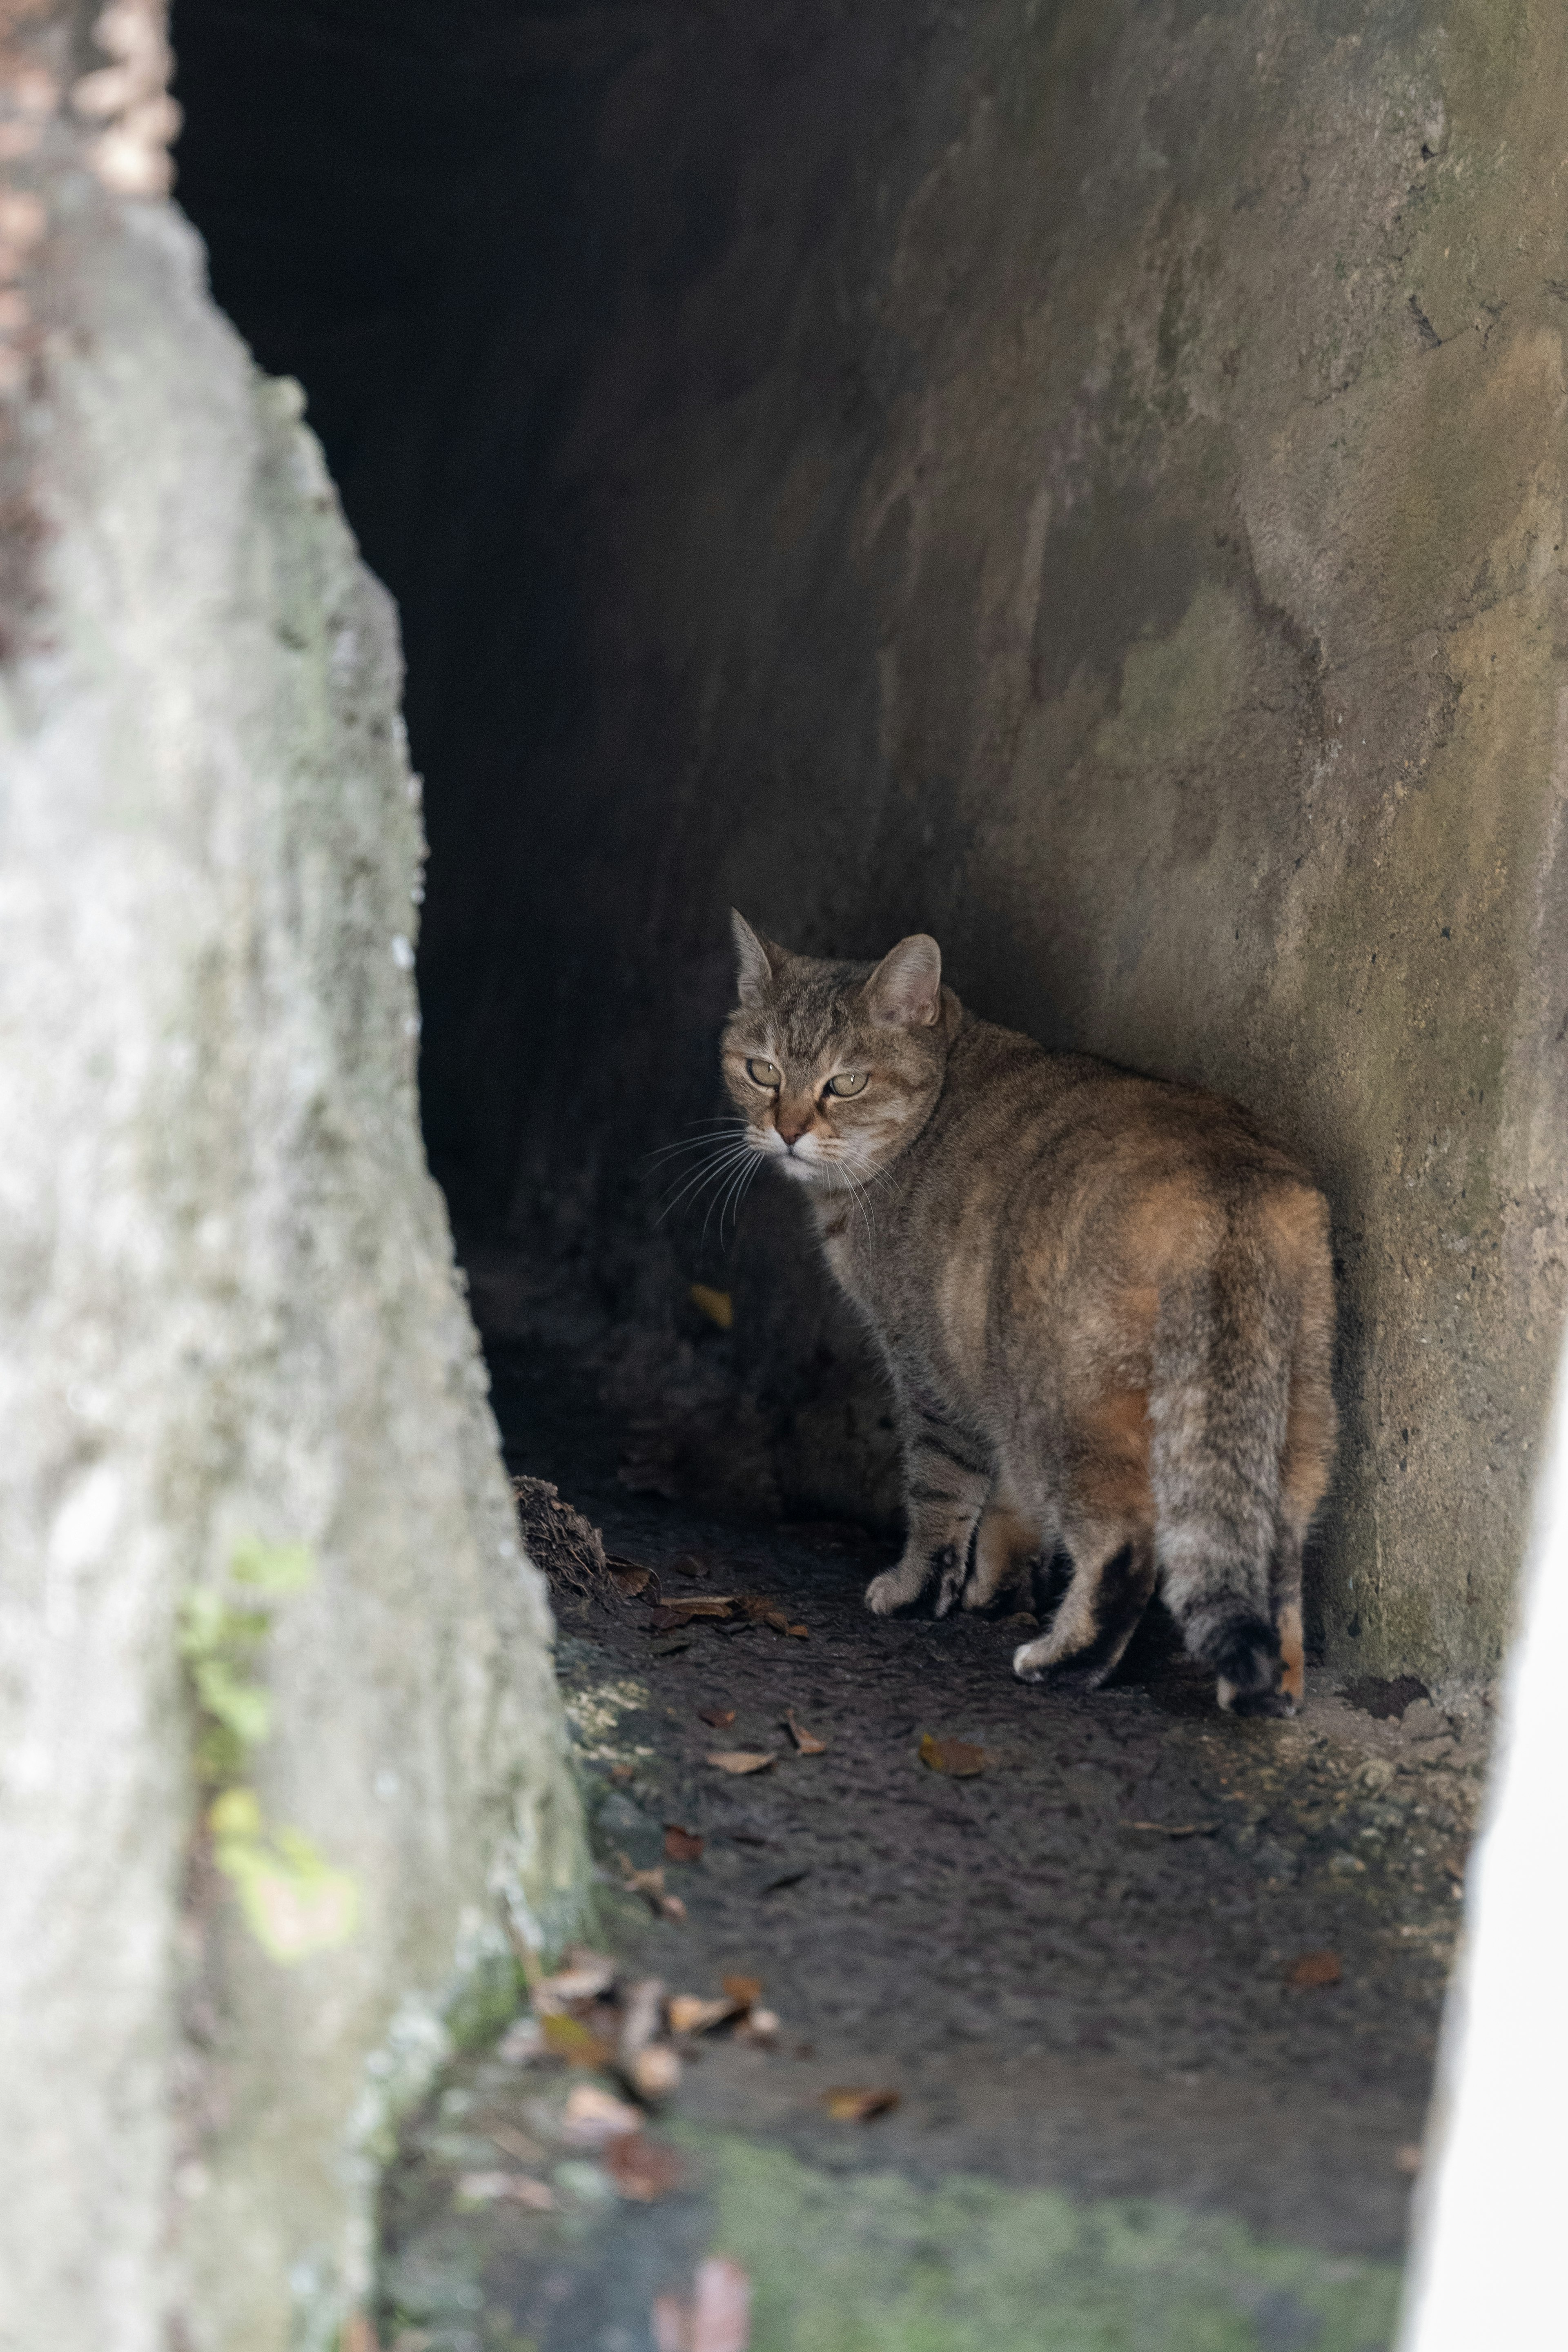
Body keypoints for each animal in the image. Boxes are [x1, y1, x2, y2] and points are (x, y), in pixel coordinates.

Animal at [724, 908, 1335, 1722]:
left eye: (845, 1083)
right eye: (761, 1070)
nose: (788, 1130)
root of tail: (1228, 1180)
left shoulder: (927, 1366)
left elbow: (940, 1491)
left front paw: (918, 1590)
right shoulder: (983, 1373)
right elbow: (1008, 1503)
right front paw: (996, 1583)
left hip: (1068, 1412)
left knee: (1127, 1546)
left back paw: (1064, 1659)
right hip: (1292, 1425)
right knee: (1275, 1568)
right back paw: (1269, 1690)